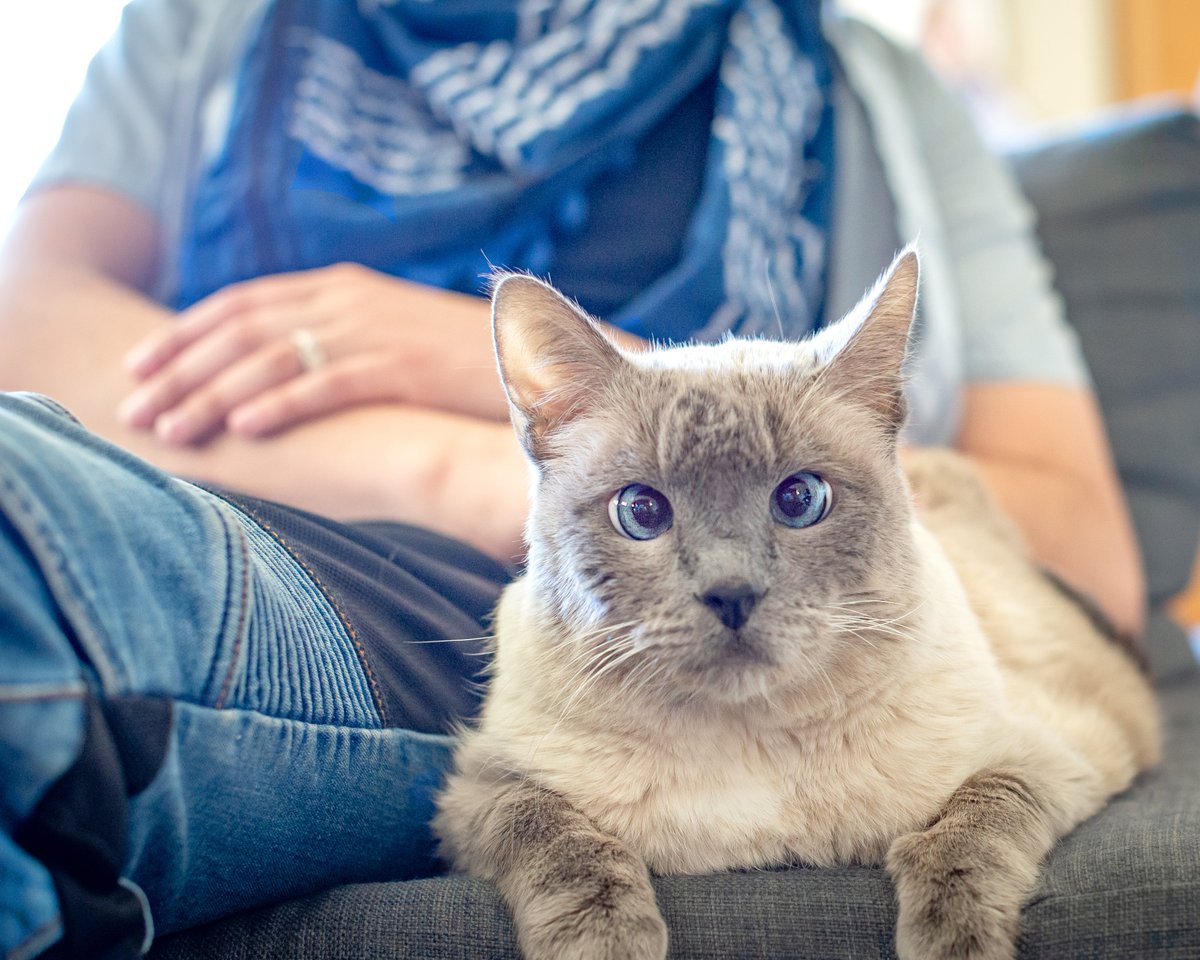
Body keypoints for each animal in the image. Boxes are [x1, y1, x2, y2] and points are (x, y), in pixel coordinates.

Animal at [434, 249, 1161, 960]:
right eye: (641, 512)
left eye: (799, 500)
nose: (732, 594)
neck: (751, 748)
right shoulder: (480, 790)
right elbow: (559, 838)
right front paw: (604, 940)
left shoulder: (1051, 759)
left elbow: (965, 830)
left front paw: (953, 939)